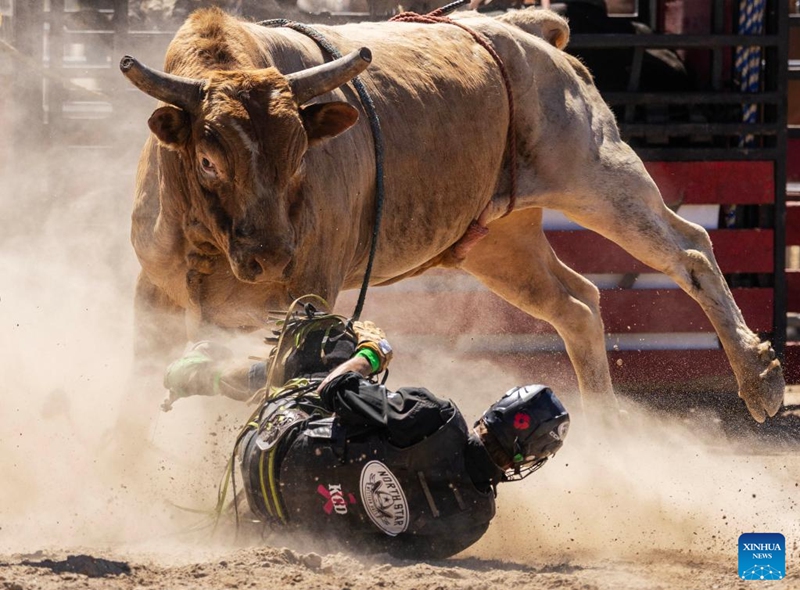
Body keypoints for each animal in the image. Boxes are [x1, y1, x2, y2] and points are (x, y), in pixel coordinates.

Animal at [121, 6, 783, 423]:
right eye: (208, 160)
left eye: (301, 154)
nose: (271, 256)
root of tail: (523, 28)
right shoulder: (154, 288)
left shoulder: (309, 287)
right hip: (498, 241)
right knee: (577, 303)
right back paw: (609, 430)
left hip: (597, 170)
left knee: (689, 249)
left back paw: (760, 378)